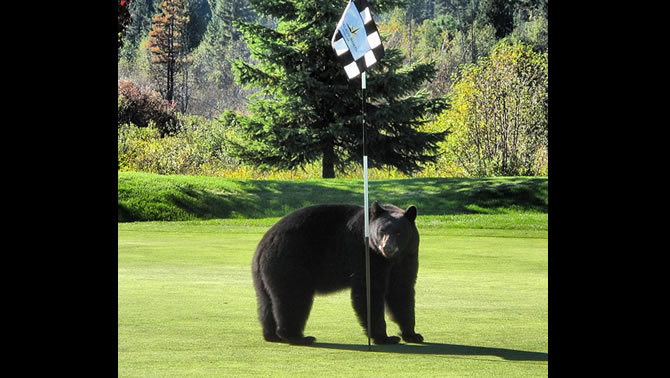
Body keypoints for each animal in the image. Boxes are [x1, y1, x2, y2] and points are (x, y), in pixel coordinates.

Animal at [252, 201, 426, 346]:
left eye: (399, 233)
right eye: (381, 231)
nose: (387, 247)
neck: (390, 258)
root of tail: (262, 246)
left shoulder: (407, 256)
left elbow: (401, 290)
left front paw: (412, 334)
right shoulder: (366, 255)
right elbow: (369, 290)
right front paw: (384, 337)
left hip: (265, 275)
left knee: (266, 302)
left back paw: (271, 335)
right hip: (290, 262)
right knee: (293, 298)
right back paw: (297, 337)